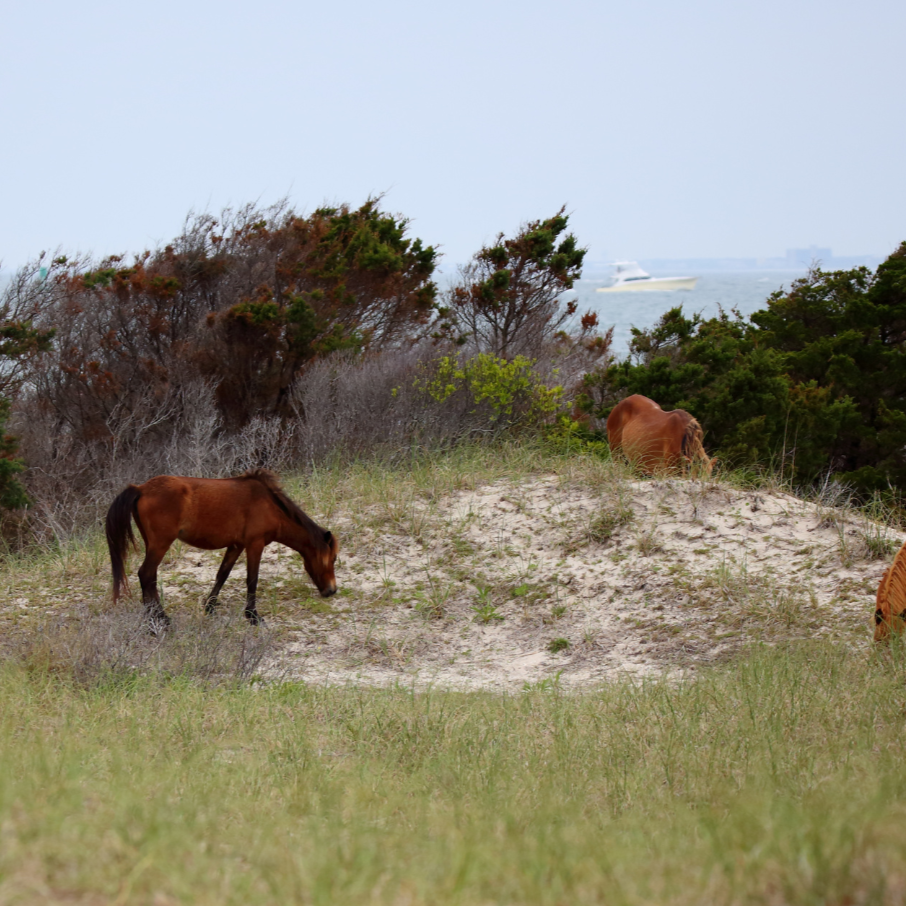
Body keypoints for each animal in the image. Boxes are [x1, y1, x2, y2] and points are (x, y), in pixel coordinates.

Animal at [105, 470, 340, 624]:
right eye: (333, 558)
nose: (332, 590)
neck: (269, 505)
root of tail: (141, 489)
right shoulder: (255, 544)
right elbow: (252, 579)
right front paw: (252, 616)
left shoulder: (236, 545)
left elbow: (222, 574)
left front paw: (210, 607)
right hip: (160, 544)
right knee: (146, 574)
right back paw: (159, 620)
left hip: (153, 544)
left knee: (150, 577)